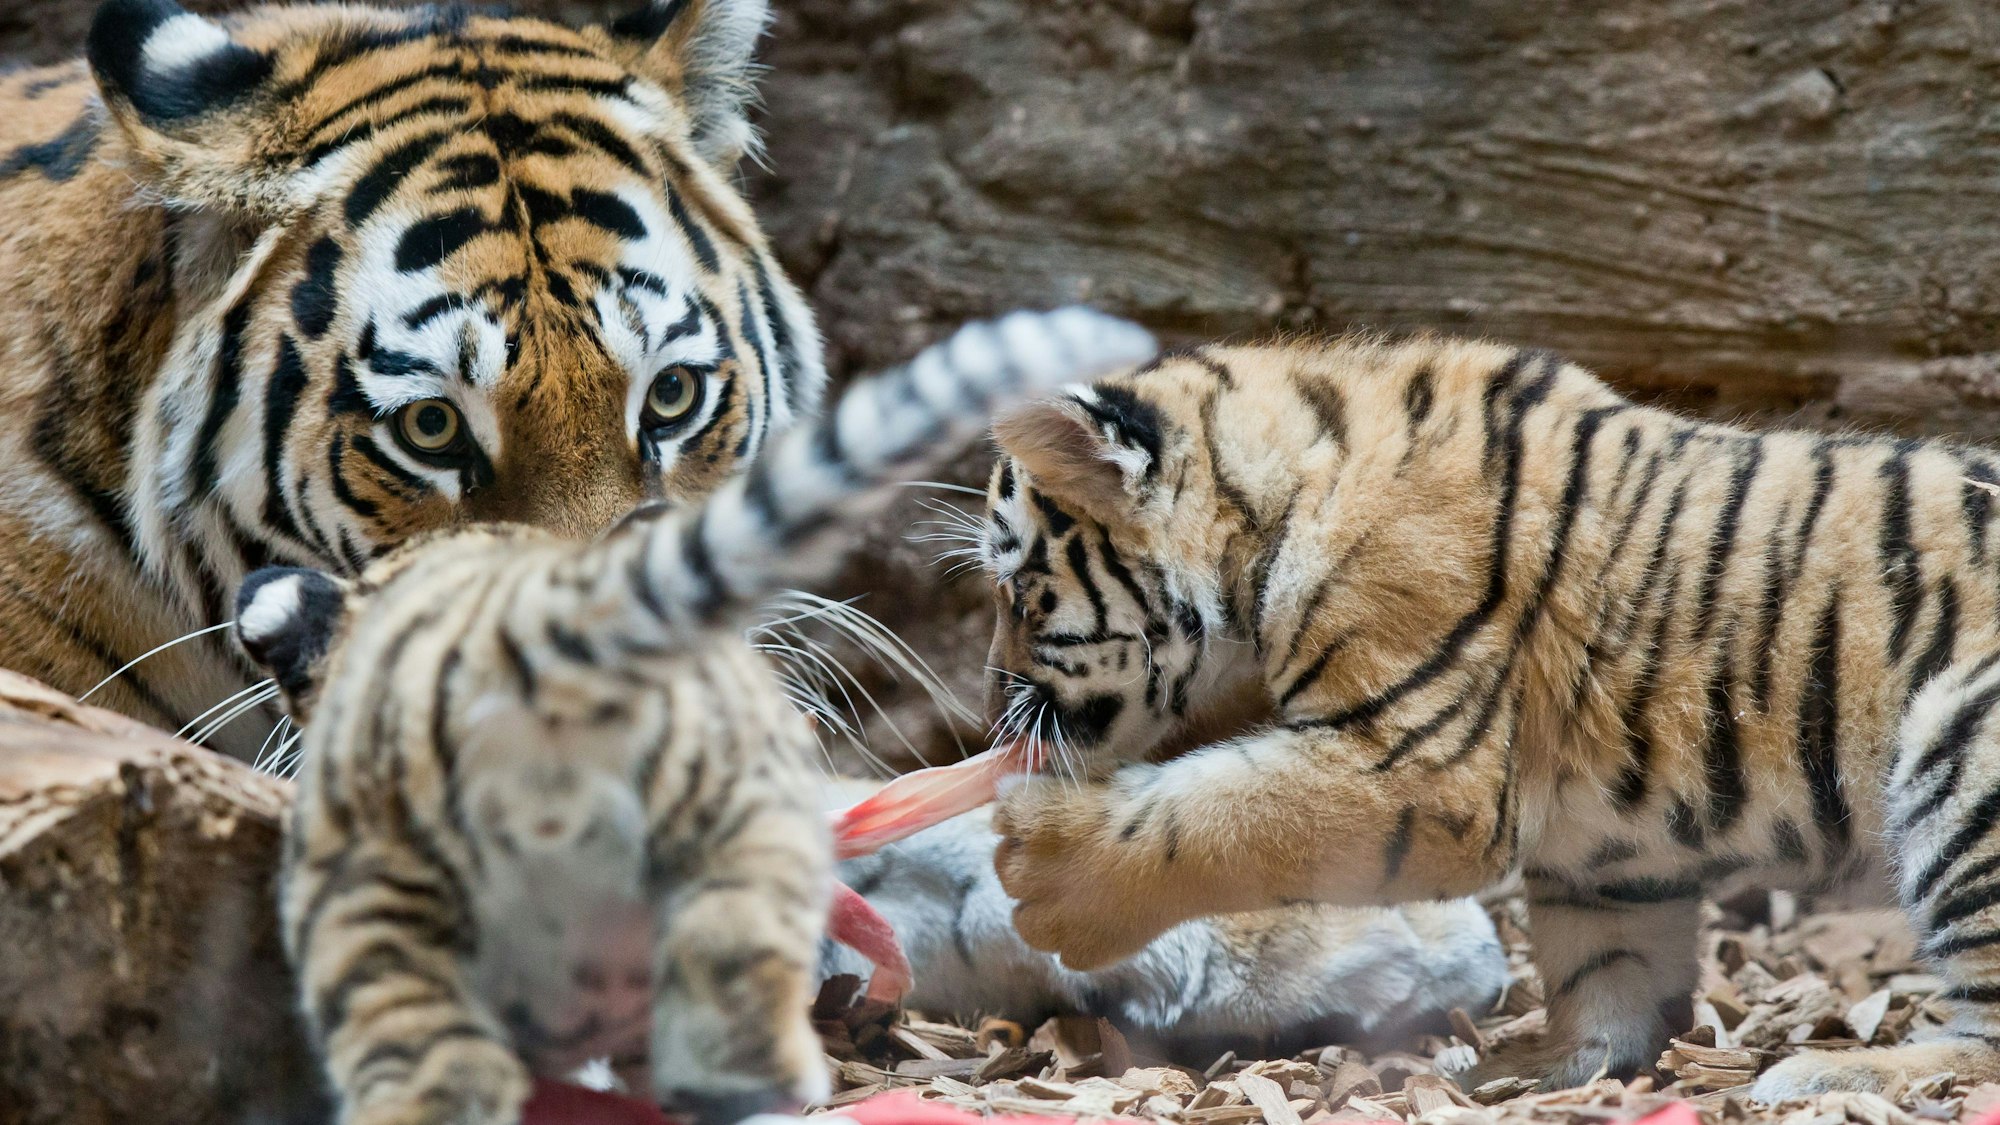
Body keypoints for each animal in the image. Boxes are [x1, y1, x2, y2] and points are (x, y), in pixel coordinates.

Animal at [971, 334, 2000, 1100]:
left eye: (1018, 590)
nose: (990, 705)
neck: (1268, 514)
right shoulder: (1609, 845)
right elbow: (1605, 959)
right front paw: (1554, 1063)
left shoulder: (1422, 767)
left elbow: (1228, 810)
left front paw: (1051, 869)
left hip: (1961, 750)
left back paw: (1830, 1075)